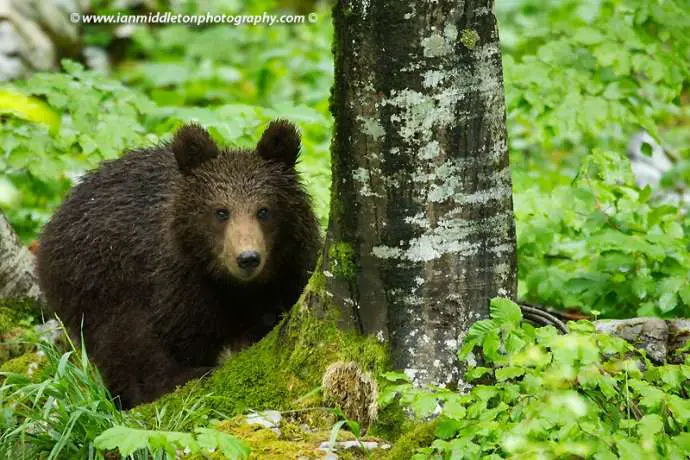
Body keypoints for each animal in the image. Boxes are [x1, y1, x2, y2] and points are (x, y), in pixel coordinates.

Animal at [36, 120, 321, 409]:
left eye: (264, 210)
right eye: (221, 211)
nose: (248, 258)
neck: (233, 288)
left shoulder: (290, 273)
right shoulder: (180, 287)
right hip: (96, 281)